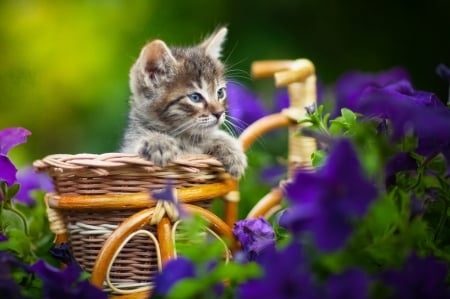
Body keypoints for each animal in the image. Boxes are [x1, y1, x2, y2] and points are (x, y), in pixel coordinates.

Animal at [120, 28, 246, 178]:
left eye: (220, 93)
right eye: (195, 97)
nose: (219, 113)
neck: (185, 138)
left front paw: (233, 150)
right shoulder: (128, 149)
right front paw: (158, 141)